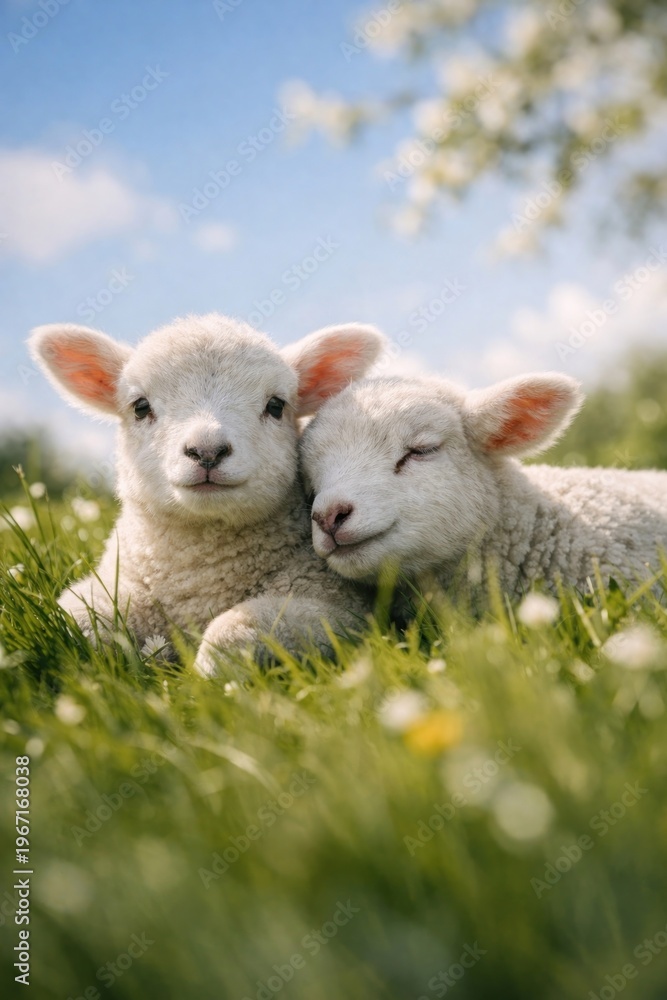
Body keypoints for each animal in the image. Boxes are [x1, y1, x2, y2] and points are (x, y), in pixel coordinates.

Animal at [29, 313, 383, 674]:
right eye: (140, 407)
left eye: (275, 405)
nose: (207, 450)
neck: (199, 581)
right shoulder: (113, 589)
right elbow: (74, 619)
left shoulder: (335, 608)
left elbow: (234, 628)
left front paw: (207, 672)